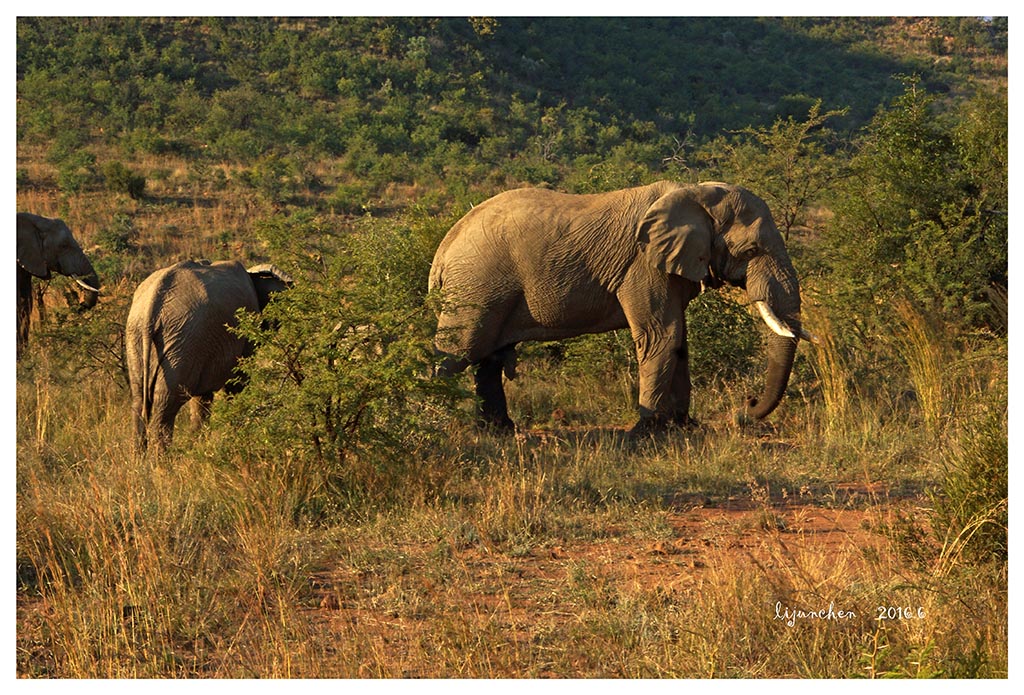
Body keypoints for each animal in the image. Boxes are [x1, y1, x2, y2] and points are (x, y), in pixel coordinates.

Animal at [126, 259, 292, 450]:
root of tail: (151, 308)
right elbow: (237, 384)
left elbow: (202, 398)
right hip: (182, 340)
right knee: (166, 403)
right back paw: (161, 457)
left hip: (138, 337)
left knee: (139, 400)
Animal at [428, 182, 811, 438]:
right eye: (751, 250)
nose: (746, 407)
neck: (695, 193)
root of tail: (444, 248)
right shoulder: (643, 265)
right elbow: (662, 336)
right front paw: (644, 433)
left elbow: (679, 342)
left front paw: (685, 427)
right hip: (476, 283)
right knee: (456, 352)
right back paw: (437, 425)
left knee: (487, 360)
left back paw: (499, 431)